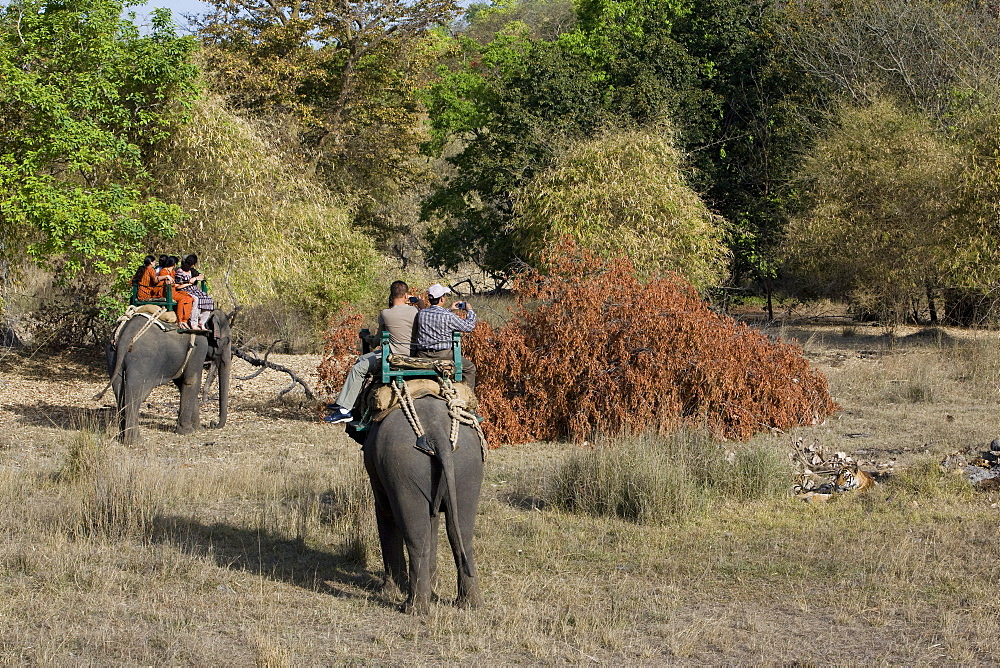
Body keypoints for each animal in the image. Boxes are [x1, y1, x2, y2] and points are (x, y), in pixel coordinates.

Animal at [106, 310, 232, 446]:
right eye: (227, 341)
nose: (212, 423)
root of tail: (126, 334)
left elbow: (182, 384)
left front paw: (198, 429)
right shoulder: (199, 347)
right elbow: (191, 382)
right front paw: (187, 432)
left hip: (112, 357)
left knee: (120, 392)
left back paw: (122, 438)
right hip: (141, 361)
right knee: (136, 395)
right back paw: (135, 441)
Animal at [360, 394, 484, 612]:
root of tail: (437, 433)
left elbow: (385, 514)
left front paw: (388, 592)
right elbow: (432, 520)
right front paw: (435, 585)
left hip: (404, 467)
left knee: (416, 536)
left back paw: (413, 608)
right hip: (468, 467)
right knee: (461, 533)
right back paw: (469, 604)